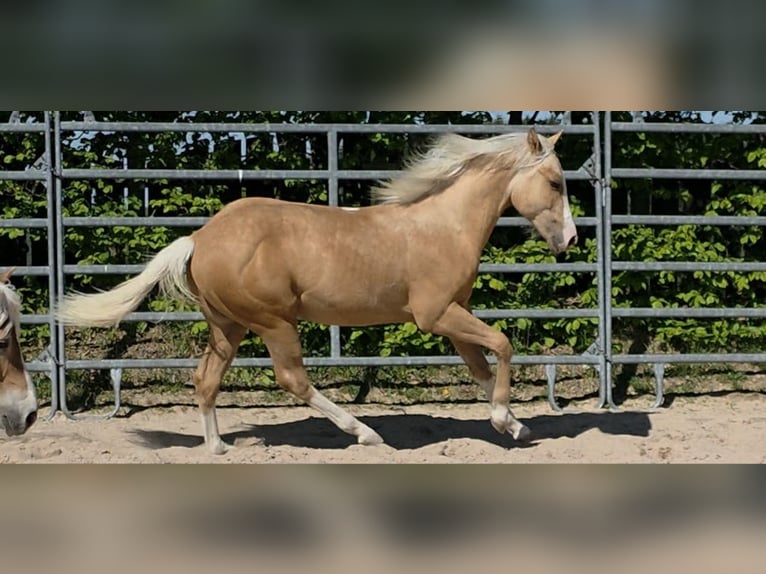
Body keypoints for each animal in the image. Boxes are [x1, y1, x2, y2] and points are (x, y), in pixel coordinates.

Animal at [56, 127, 577, 454]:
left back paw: (218, 446)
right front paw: (504, 419)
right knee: (293, 379)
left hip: (228, 326)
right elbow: (502, 345)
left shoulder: (453, 313)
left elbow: (479, 366)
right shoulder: (435, 314)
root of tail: (200, 238)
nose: (570, 240)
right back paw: (364, 434)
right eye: (555, 182)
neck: (443, 225)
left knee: (205, 379)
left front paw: (515, 425)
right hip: (273, 322)